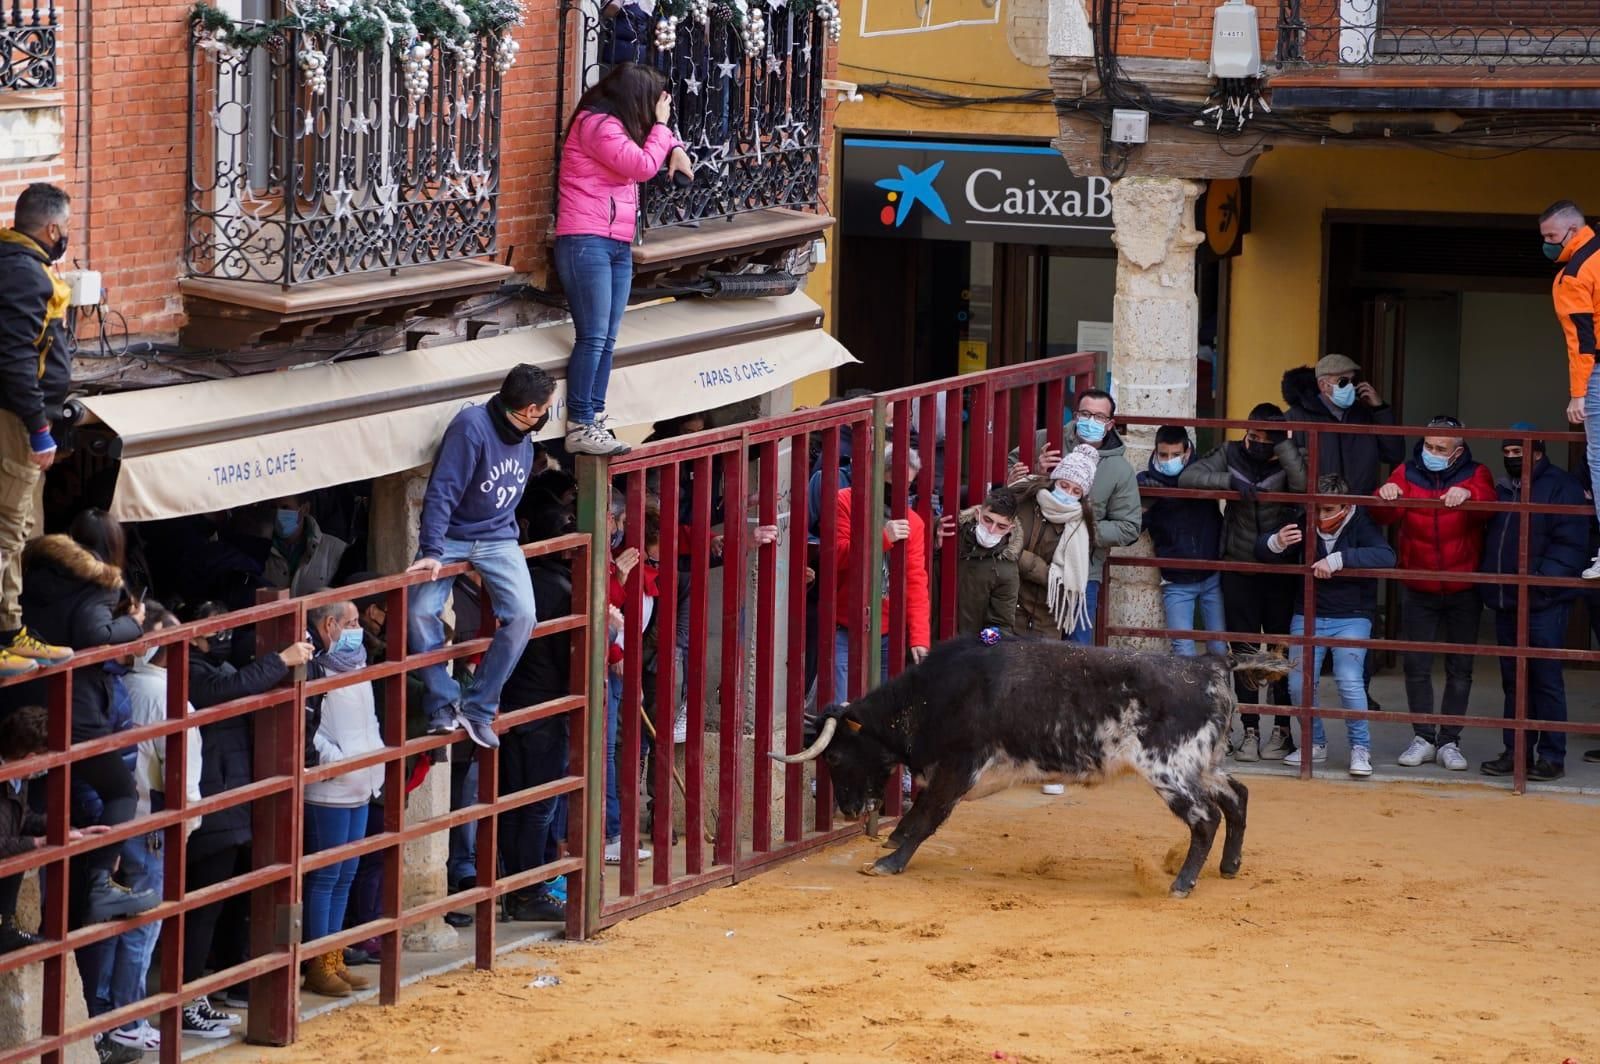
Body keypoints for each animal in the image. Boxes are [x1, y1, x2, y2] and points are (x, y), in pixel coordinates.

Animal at [771, 633, 1286, 889]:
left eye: (836, 755)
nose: (849, 810)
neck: (935, 695)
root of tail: (1210, 665)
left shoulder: (959, 769)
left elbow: (925, 818)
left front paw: (889, 862)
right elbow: (917, 815)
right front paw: (889, 845)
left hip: (1169, 771)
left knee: (1206, 816)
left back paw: (1181, 883)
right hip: (1204, 765)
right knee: (1237, 796)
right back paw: (1229, 867)